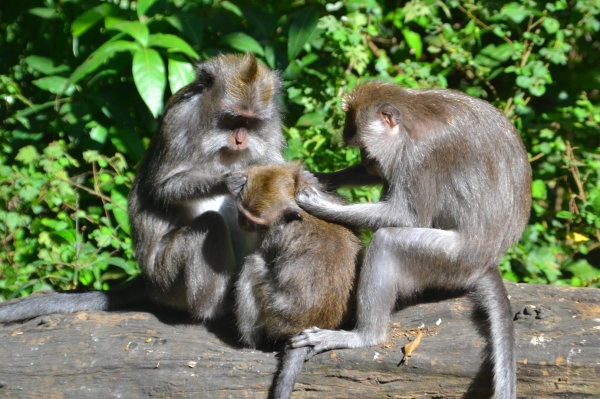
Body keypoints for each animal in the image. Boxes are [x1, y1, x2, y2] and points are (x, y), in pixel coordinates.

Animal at [0, 52, 286, 324]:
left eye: (250, 122)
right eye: (232, 119)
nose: (240, 139)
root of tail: (148, 282)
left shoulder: (271, 126)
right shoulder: (179, 121)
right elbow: (162, 187)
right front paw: (227, 181)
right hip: (167, 278)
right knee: (209, 225)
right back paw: (216, 309)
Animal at [227, 163, 360, 399]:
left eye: (255, 222)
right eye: (242, 213)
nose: (242, 223)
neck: (298, 213)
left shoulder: (273, 237)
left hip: (278, 318)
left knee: (253, 265)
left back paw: (248, 342)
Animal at [292, 82, 532, 399]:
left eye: (365, 149)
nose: (366, 162)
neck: (411, 118)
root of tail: (488, 262)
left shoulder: (423, 155)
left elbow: (407, 216)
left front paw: (320, 205)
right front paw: (323, 177)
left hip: (451, 262)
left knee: (387, 242)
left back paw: (364, 336)